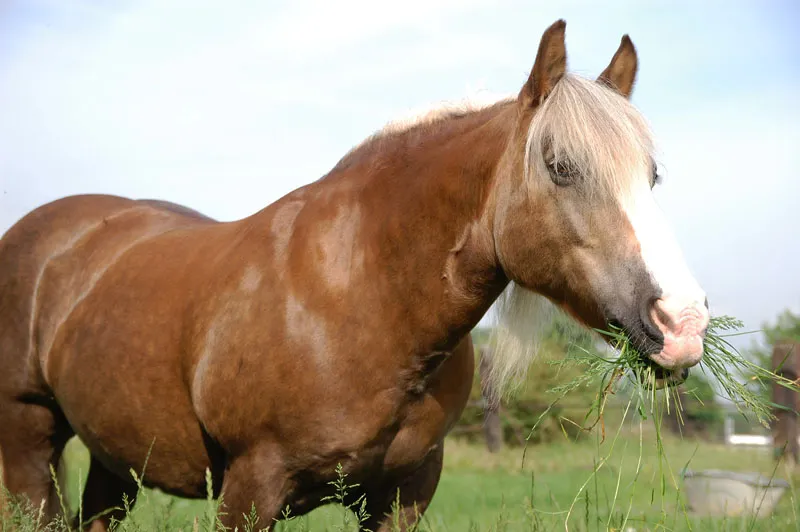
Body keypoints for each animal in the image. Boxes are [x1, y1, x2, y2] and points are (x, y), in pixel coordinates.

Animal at [1, 20, 708, 532]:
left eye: (651, 176)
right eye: (561, 167)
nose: (683, 324)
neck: (360, 298)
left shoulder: (403, 497)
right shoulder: (249, 491)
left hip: (115, 461)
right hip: (29, 441)